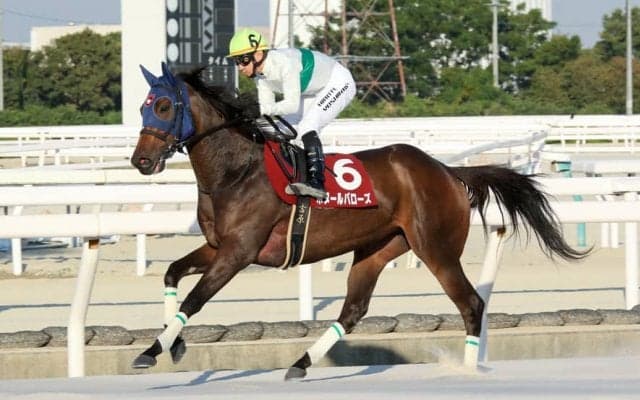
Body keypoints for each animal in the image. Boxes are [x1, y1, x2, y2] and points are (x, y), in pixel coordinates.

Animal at [130, 63, 589, 379]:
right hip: (377, 249)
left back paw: (467, 370)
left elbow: (195, 300)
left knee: (471, 303)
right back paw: (300, 363)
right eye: (142, 107)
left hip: (436, 249)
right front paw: (173, 345)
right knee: (353, 309)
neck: (235, 172)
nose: (141, 161)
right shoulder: (217, 246)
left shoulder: (240, 251)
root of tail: (448, 172)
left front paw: (151, 351)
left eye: (164, 106)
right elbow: (172, 275)